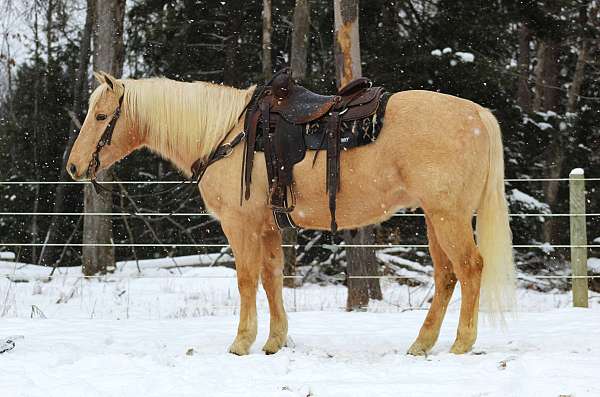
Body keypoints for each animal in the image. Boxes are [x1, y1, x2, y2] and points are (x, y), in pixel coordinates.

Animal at [68, 71, 512, 356]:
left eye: (102, 117)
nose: (73, 167)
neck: (226, 135)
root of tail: (477, 114)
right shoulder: (267, 227)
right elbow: (271, 279)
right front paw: (274, 341)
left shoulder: (240, 225)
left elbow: (247, 280)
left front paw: (241, 342)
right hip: (436, 218)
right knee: (447, 275)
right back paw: (422, 343)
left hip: (449, 217)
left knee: (470, 268)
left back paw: (462, 342)